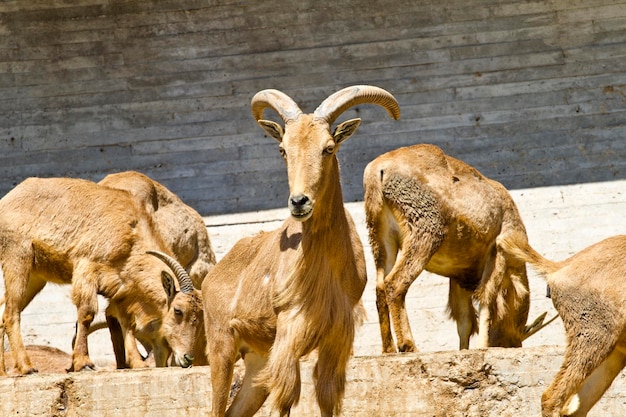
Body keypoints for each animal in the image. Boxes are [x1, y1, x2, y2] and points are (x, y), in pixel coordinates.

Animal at [0, 176, 201, 374]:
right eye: (178, 310)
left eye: (198, 317)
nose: (187, 358)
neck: (131, 231)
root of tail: (6, 200)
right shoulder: (87, 267)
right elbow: (86, 313)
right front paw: (83, 363)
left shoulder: (122, 288)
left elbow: (126, 322)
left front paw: (137, 363)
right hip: (18, 258)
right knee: (11, 314)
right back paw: (27, 367)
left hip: (35, 278)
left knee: (3, 316)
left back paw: (3, 372)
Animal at [202, 85, 400, 416]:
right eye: (283, 149)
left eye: (328, 148)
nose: (299, 202)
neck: (326, 264)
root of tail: (214, 273)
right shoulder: (289, 330)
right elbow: (286, 398)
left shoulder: (336, 336)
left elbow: (328, 396)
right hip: (221, 347)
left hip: (256, 359)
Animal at [366, 143, 540, 352]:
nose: (511, 345)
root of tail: (379, 171)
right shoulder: (498, 253)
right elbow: (486, 301)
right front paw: (483, 347)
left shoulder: (458, 276)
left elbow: (464, 321)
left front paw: (464, 349)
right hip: (424, 232)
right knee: (395, 283)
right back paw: (408, 345)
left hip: (380, 236)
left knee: (380, 286)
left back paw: (388, 349)